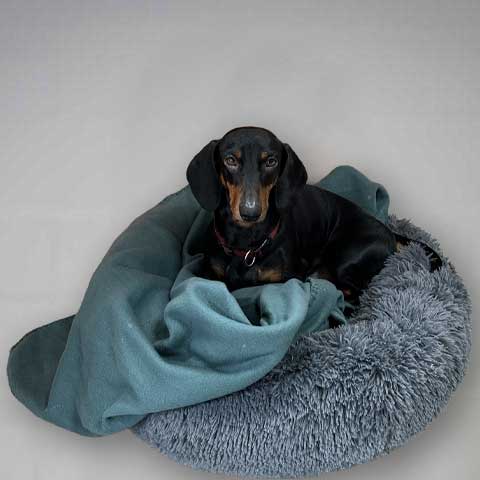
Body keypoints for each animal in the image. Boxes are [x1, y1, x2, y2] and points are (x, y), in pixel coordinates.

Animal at [186, 126, 440, 302]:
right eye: (230, 160)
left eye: (271, 161)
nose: (251, 212)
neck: (247, 242)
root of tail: (389, 231)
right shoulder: (209, 275)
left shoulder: (287, 279)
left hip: (346, 257)